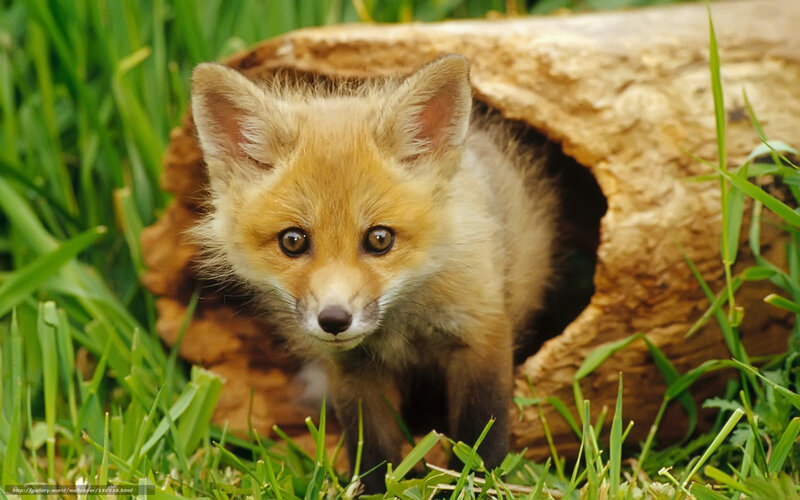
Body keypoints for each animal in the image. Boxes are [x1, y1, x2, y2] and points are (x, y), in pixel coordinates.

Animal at [189, 54, 557, 493]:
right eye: (293, 241)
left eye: (380, 239)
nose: (334, 320)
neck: (401, 327)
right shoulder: (354, 371)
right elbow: (373, 450)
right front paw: (375, 488)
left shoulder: (481, 334)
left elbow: (480, 435)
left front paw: (474, 482)